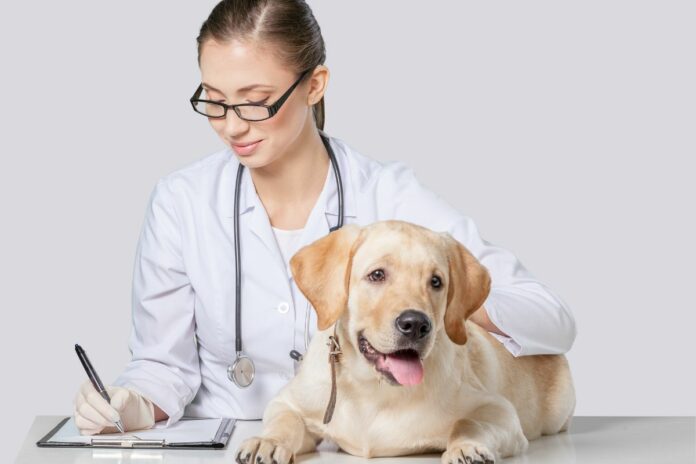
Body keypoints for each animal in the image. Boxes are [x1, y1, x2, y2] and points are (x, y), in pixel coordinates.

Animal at [237, 219, 572, 462]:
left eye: (436, 281)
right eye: (377, 275)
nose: (416, 325)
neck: (373, 389)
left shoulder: (499, 410)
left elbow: (469, 422)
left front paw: (466, 446)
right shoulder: (288, 402)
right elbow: (285, 421)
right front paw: (266, 441)